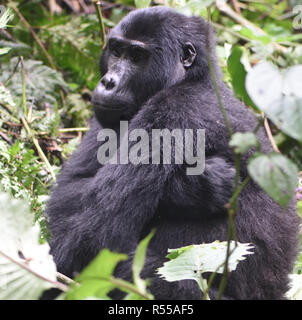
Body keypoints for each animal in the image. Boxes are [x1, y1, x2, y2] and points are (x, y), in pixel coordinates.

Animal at [46, 6, 300, 300]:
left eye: (137, 56)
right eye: (116, 51)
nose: (108, 82)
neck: (195, 78)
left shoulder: (174, 108)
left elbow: (91, 240)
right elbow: (68, 192)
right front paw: (194, 187)